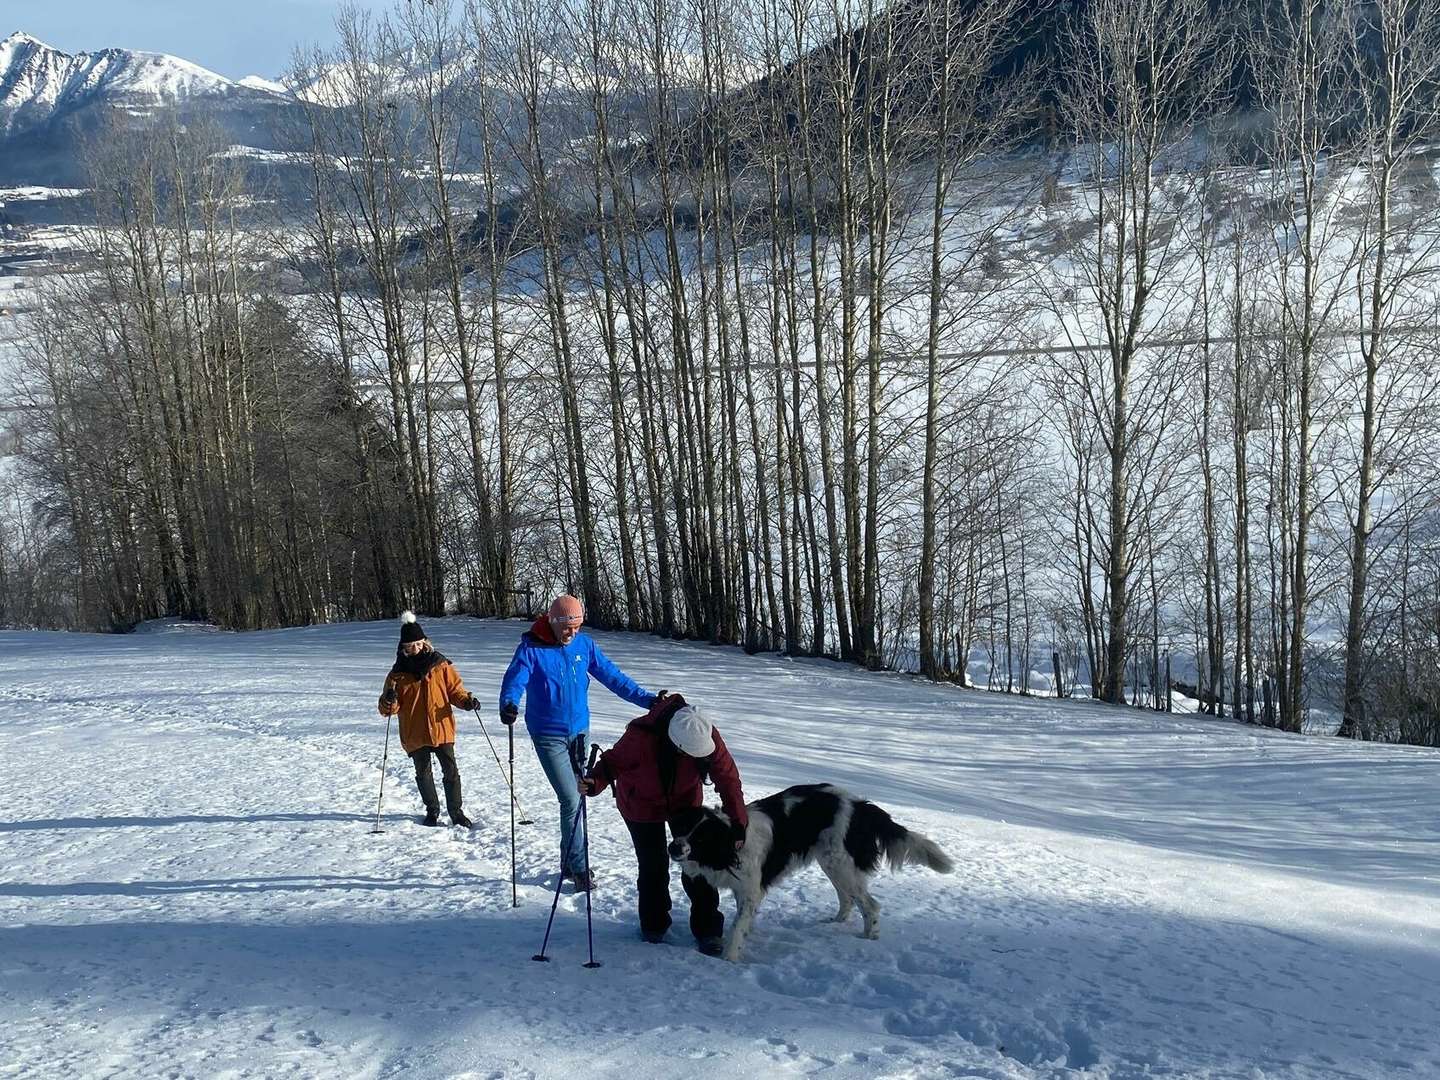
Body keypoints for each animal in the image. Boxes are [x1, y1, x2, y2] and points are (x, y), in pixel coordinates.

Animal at [665, 789, 956, 961]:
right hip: (831, 862)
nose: (673, 847)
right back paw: (835, 922)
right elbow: (743, 921)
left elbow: (738, 925)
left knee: (871, 905)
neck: (729, 844)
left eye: (701, 837)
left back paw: (869, 939)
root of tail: (860, 806)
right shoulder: (744, 890)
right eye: (683, 826)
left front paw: (729, 958)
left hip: (840, 863)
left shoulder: (750, 891)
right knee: (847, 898)